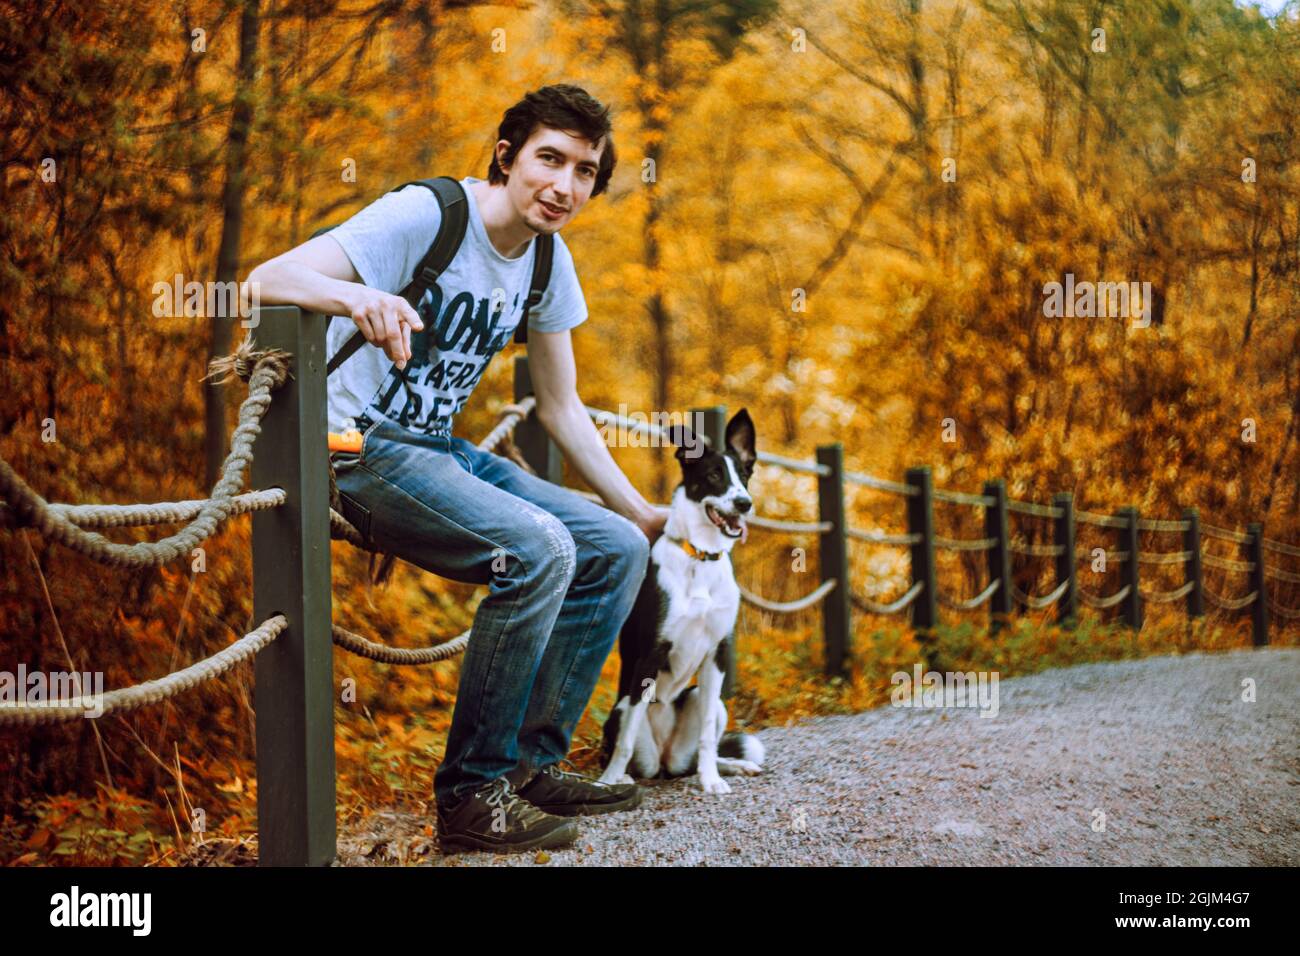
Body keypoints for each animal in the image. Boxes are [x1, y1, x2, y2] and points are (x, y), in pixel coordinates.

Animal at [595, 408, 759, 790]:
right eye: (713, 475)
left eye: (744, 476)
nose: (744, 503)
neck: (700, 556)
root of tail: (666, 760)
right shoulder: (651, 655)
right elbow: (624, 742)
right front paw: (608, 782)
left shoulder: (717, 653)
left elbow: (707, 739)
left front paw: (711, 781)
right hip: (622, 710)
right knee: (627, 749)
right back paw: (621, 778)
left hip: (706, 701)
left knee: (698, 753)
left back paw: (730, 765)